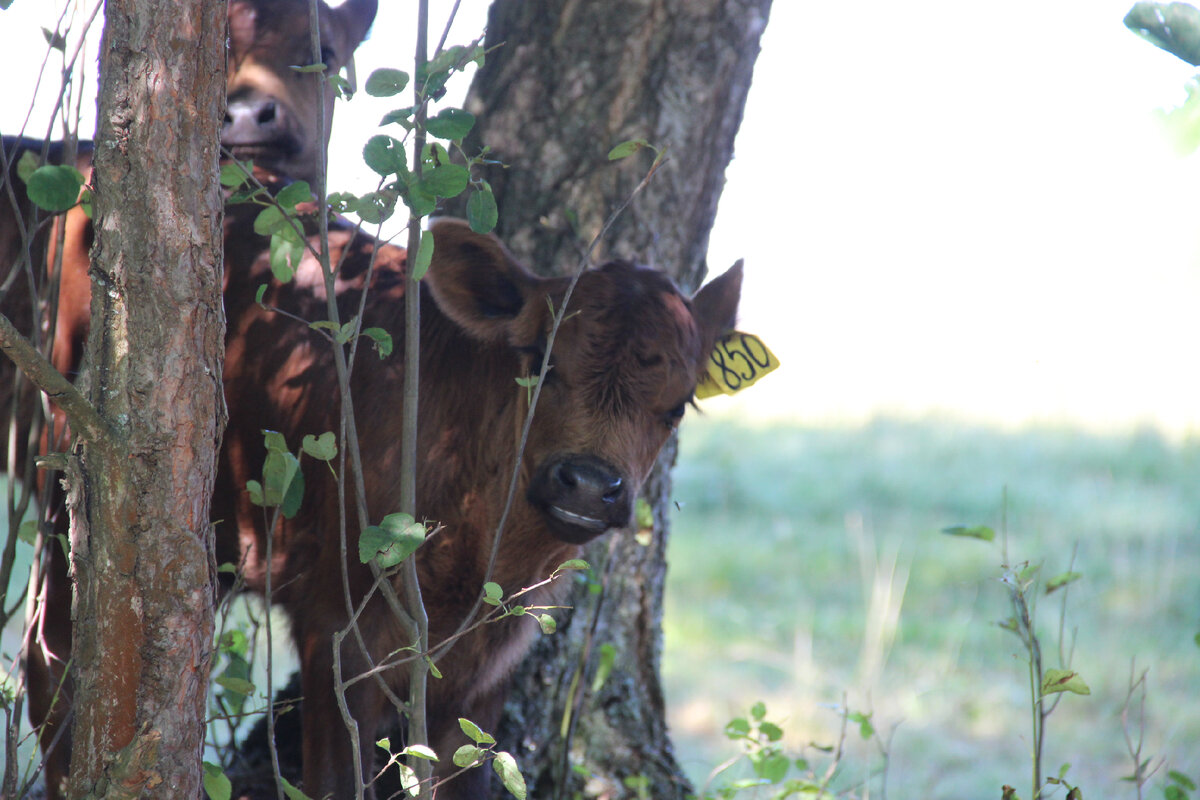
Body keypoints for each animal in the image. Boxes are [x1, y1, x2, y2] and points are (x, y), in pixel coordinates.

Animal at [216, 214, 739, 800]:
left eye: (679, 406)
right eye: (541, 363)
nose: (587, 484)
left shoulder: (486, 671)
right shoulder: (336, 629)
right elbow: (338, 779)